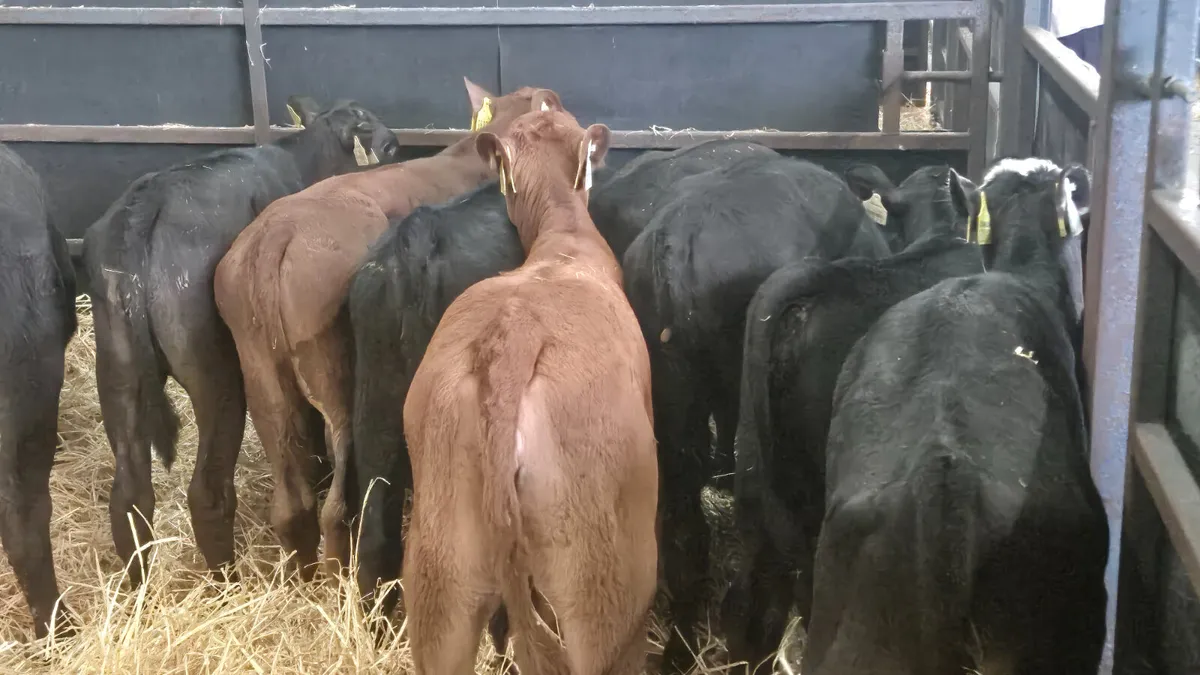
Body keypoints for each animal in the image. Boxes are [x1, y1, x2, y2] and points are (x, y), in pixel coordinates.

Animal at [82, 96, 400, 587]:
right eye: (380, 139)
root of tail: (144, 209)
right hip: (218, 377)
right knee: (208, 489)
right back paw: (225, 581)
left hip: (118, 374)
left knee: (130, 496)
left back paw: (140, 591)